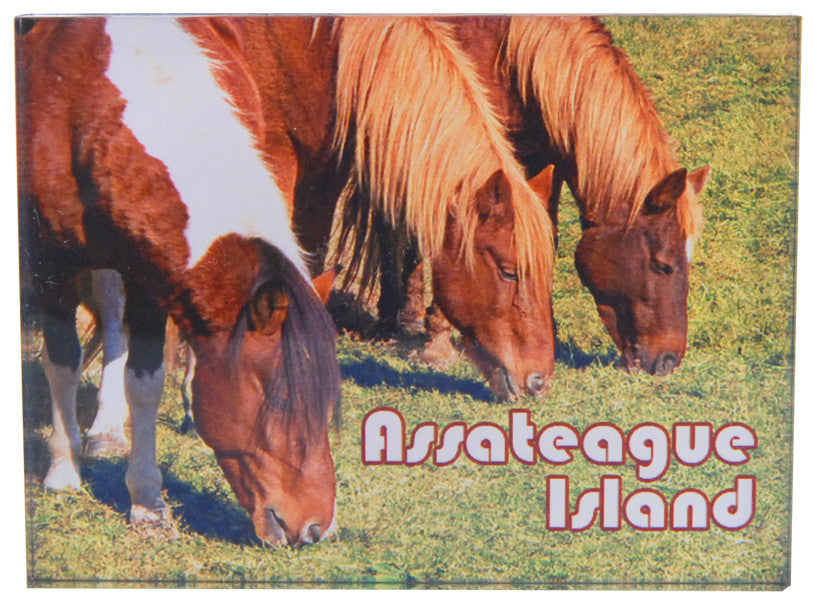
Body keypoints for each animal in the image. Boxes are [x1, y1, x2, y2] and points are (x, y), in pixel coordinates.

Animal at [18, 16, 341, 546]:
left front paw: (147, 502)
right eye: (281, 400)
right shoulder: (51, 265)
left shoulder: (154, 278)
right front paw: (62, 471)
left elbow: (145, 383)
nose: (315, 527)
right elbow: (62, 362)